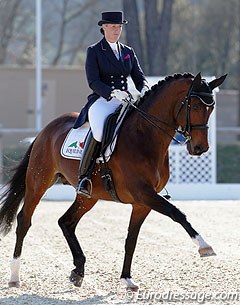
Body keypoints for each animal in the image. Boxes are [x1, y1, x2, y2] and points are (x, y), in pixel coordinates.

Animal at [0, 72, 226, 288]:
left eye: (212, 108)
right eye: (194, 106)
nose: (200, 148)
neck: (145, 135)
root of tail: (45, 130)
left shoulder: (142, 202)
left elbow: (131, 239)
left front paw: (127, 279)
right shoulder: (143, 193)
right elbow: (177, 213)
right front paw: (204, 246)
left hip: (88, 196)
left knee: (66, 222)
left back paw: (78, 271)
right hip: (38, 182)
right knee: (24, 221)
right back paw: (14, 276)